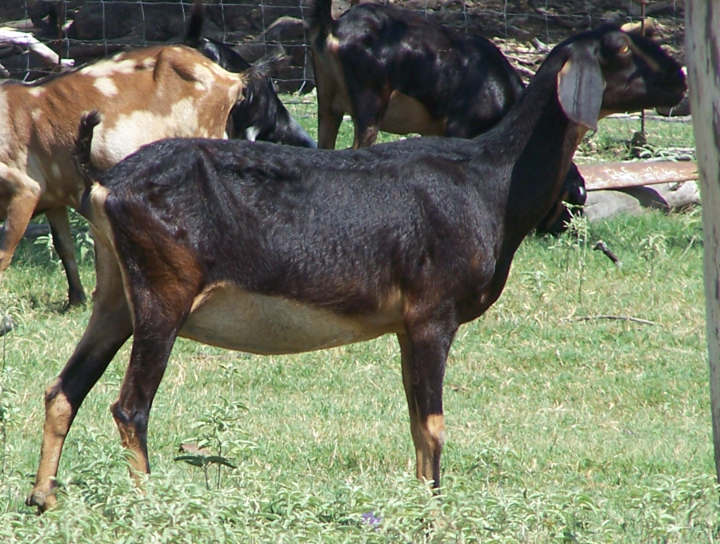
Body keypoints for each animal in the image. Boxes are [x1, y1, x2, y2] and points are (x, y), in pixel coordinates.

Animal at [25, 25, 684, 512]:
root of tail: (107, 181)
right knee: (129, 406)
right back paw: (148, 502)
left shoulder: (405, 326)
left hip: (117, 296)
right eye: (622, 48)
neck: (489, 179)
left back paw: (43, 499)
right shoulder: (432, 315)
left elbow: (416, 421)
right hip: (163, 294)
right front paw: (433, 510)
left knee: (63, 390)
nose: (678, 79)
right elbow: (434, 423)